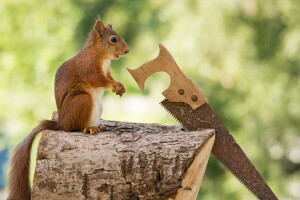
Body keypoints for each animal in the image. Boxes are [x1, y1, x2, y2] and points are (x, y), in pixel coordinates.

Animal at [7, 18, 129, 200]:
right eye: (113, 39)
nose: (127, 50)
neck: (100, 55)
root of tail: (61, 124)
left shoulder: (107, 70)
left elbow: (109, 77)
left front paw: (119, 85)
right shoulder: (88, 68)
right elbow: (99, 80)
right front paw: (114, 84)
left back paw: (98, 126)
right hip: (82, 100)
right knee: (74, 128)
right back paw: (89, 128)